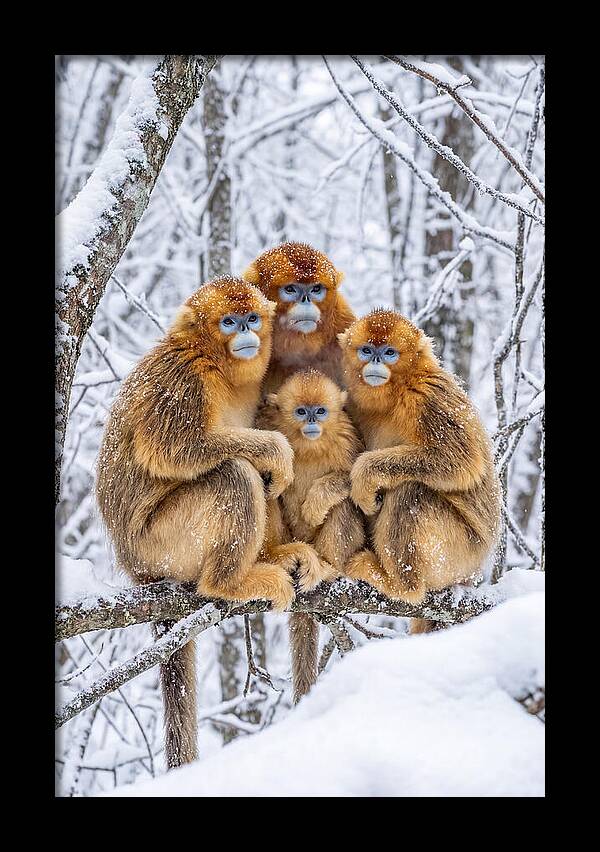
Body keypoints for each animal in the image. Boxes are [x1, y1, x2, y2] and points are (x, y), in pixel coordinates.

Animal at [96, 276, 297, 769]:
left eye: (251, 318)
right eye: (229, 321)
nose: (246, 332)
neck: (217, 366)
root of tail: (136, 568)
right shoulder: (183, 379)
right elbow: (176, 450)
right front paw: (276, 449)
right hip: (162, 544)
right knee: (234, 474)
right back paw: (229, 582)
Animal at [261, 369, 366, 703]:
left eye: (320, 411)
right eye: (300, 411)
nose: (310, 421)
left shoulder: (348, 438)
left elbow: (356, 482)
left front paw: (316, 503)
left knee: (344, 505)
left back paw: (329, 568)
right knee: (266, 488)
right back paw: (277, 557)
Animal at [338, 308, 501, 633]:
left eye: (389, 352)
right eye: (367, 350)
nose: (376, 361)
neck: (397, 391)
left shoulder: (428, 396)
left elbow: (461, 461)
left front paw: (365, 475)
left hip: (459, 554)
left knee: (411, 492)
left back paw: (400, 585)